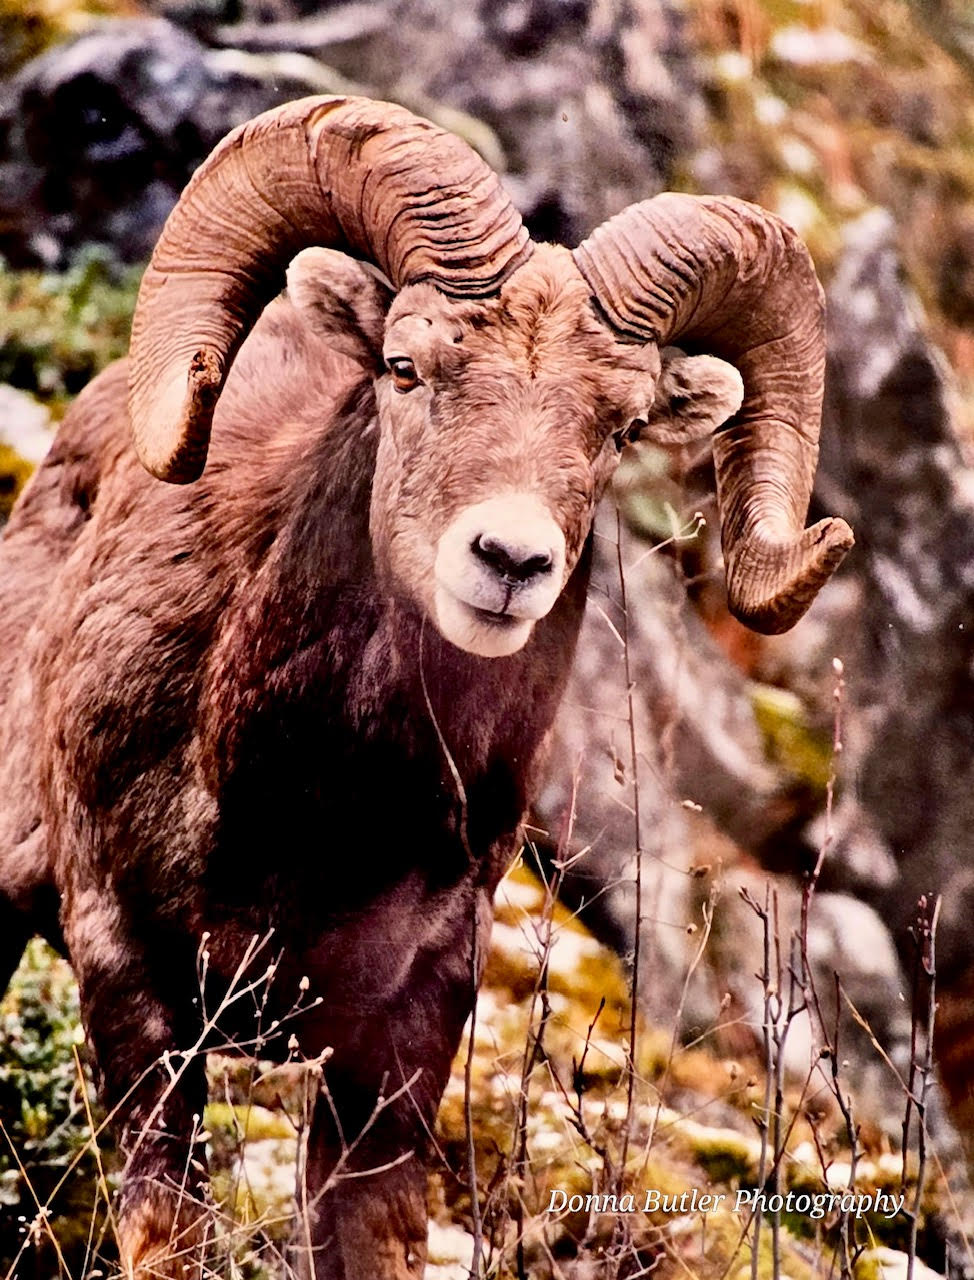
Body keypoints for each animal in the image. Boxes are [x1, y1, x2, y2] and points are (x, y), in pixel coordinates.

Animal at [0, 95, 853, 1279]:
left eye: (622, 426)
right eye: (405, 368)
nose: (508, 560)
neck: (306, 821)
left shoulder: (411, 1027)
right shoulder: (131, 968)